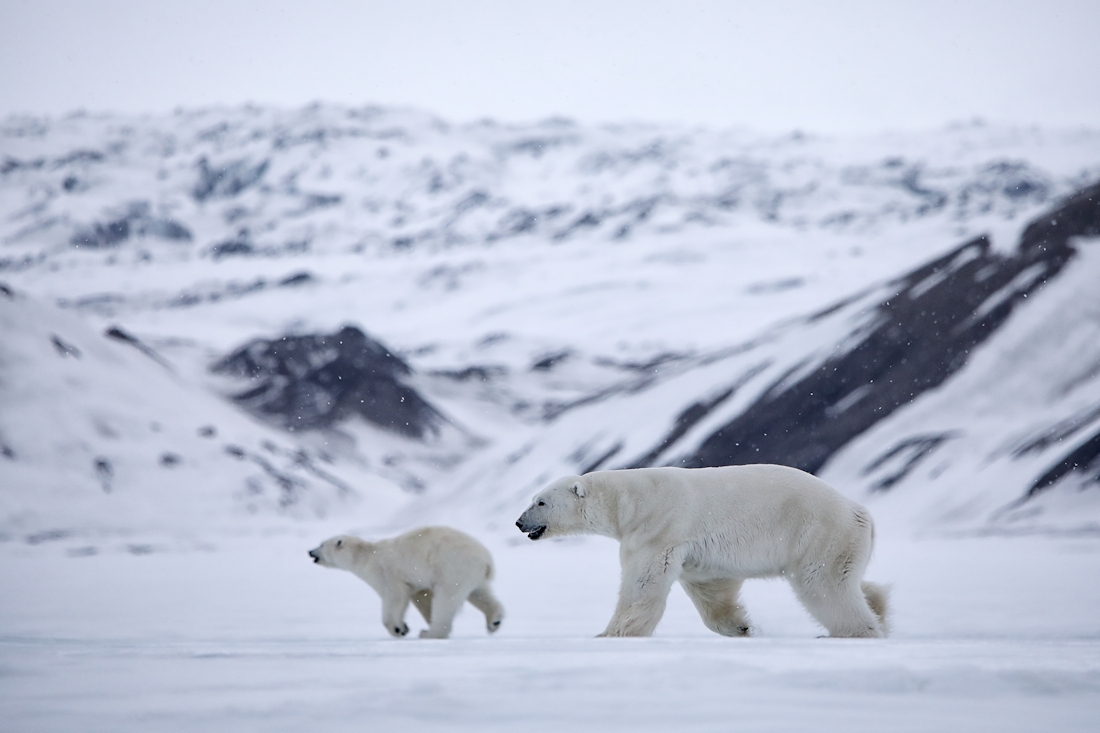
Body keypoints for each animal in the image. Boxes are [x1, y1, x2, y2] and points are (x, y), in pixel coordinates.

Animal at [309, 526, 504, 639]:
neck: (365, 556)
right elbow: (421, 597)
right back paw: (494, 621)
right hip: (471, 573)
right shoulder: (416, 582)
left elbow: (395, 596)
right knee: (479, 594)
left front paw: (398, 629)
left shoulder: (386, 572)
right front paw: (406, 625)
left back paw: (430, 633)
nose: (310, 551)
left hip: (452, 566)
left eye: (321, 544)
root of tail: (486, 558)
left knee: (446, 598)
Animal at [516, 465, 889, 639]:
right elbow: (710, 588)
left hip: (819, 532)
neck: (630, 500)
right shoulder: (692, 550)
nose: (519, 522)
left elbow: (642, 584)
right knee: (850, 579)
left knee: (824, 585)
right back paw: (880, 606)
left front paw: (612, 634)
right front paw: (741, 627)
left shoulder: (657, 528)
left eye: (540, 501)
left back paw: (855, 631)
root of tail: (861, 512)